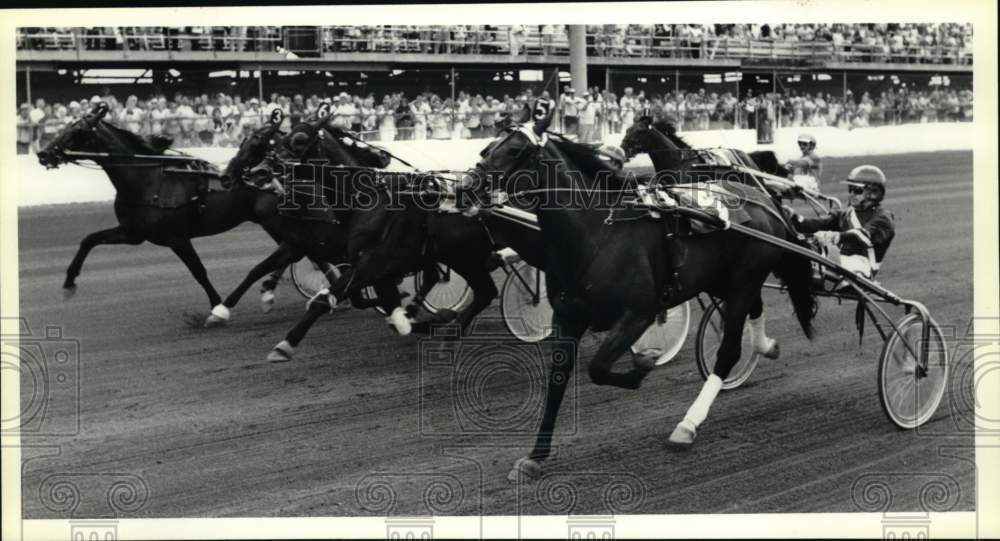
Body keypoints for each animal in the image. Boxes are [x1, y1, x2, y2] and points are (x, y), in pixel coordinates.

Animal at [35, 103, 284, 310]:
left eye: (78, 132)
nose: (43, 153)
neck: (150, 180)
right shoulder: (132, 233)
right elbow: (89, 239)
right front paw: (69, 282)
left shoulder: (177, 238)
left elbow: (199, 271)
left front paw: (216, 305)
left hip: (273, 222)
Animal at [466, 110, 812, 480]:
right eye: (487, 148)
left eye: (516, 150)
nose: (465, 187)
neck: (597, 233)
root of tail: (765, 201)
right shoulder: (567, 316)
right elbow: (558, 380)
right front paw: (535, 456)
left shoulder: (638, 313)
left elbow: (599, 368)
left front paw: (643, 364)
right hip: (723, 280)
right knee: (755, 308)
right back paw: (765, 346)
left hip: (744, 279)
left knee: (729, 350)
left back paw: (688, 425)